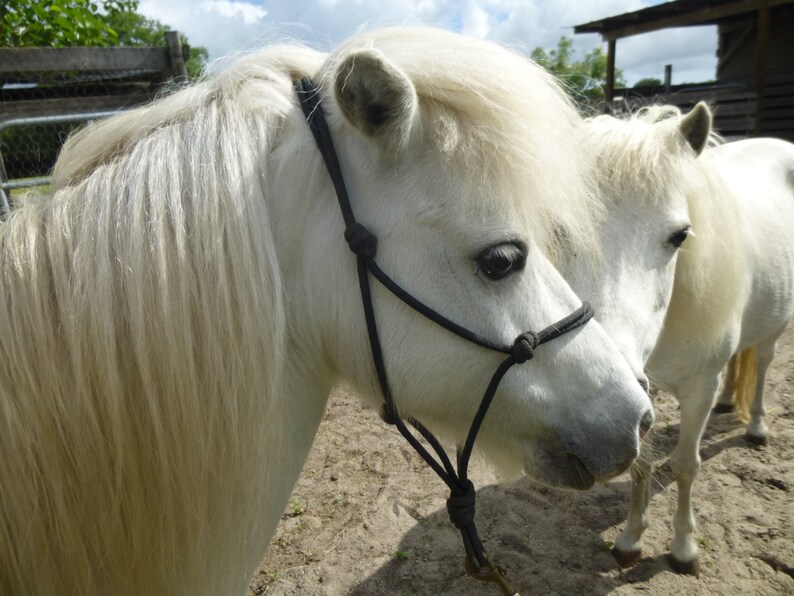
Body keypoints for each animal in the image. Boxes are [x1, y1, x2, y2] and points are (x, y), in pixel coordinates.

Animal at [570, 102, 794, 576]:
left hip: (777, 326)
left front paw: (683, 548)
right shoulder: (644, 393)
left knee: (764, 362)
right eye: (564, 231)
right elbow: (642, 465)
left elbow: (685, 466)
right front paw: (630, 539)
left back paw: (758, 426)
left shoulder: (697, 389)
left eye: (680, 236)